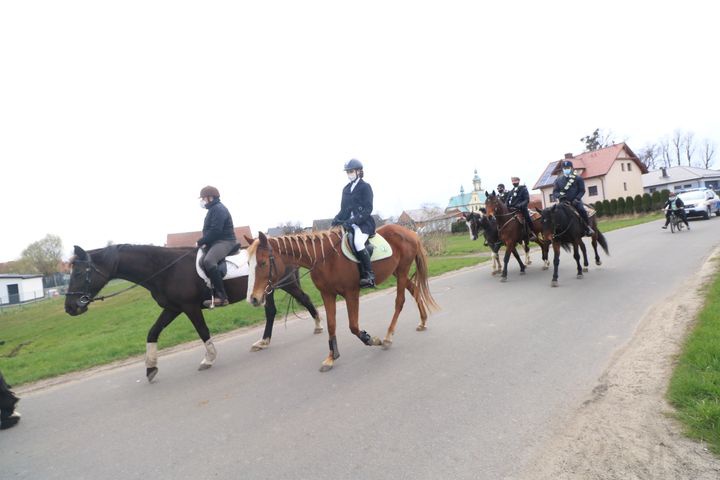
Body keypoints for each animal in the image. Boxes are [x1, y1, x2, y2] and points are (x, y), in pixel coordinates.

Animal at [64, 246, 320, 380]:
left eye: (79, 273)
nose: (70, 308)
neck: (165, 269)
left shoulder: (189, 308)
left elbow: (202, 331)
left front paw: (209, 358)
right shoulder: (172, 308)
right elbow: (152, 332)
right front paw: (150, 367)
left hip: (287, 284)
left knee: (304, 300)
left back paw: (318, 325)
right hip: (266, 291)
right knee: (271, 312)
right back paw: (263, 342)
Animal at [246, 224, 438, 372]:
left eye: (262, 263)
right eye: (248, 263)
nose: (254, 298)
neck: (325, 258)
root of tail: (410, 232)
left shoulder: (351, 293)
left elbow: (353, 326)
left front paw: (371, 339)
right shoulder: (327, 294)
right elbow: (331, 324)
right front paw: (331, 357)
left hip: (402, 271)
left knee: (400, 301)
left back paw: (388, 337)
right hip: (398, 273)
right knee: (414, 291)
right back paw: (422, 321)